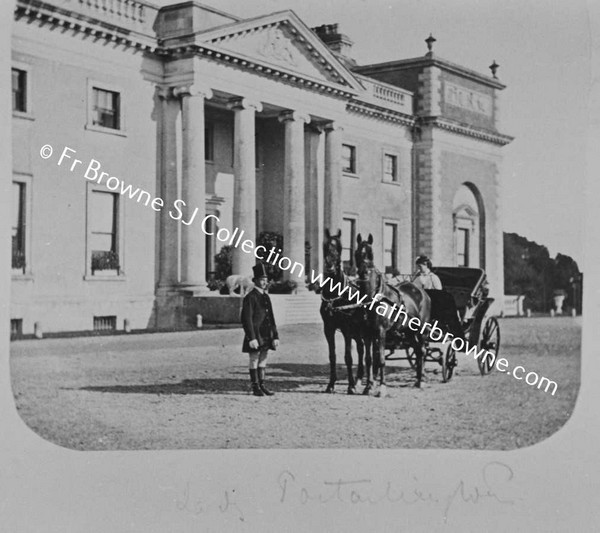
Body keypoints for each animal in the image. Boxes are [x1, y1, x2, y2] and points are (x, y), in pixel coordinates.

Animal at [318, 227, 366, 392]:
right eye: (325, 246)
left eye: (340, 247)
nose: (330, 266)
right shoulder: (328, 328)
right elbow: (332, 356)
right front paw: (331, 384)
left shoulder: (347, 328)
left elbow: (348, 357)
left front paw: (350, 386)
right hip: (357, 332)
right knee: (361, 348)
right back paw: (359, 377)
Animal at [354, 234, 428, 394]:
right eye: (357, 253)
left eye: (371, 253)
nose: (363, 272)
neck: (373, 298)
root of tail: (422, 292)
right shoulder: (367, 333)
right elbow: (369, 360)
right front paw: (368, 387)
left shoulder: (381, 331)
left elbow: (381, 360)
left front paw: (382, 387)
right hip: (409, 332)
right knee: (418, 351)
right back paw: (418, 379)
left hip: (421, 330)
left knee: (423, 351)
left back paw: (422, 379)